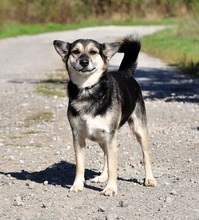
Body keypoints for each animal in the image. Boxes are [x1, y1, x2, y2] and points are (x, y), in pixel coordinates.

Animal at [53, 33, 157, 196]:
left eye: (93, 52)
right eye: (75, 52)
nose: (84, 62)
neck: (87, 89)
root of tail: (125, 73)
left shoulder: (110, 135)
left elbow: (113, 166)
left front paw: (111, 188)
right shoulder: (78, 136)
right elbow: (80, 165)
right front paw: (77, 185)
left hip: (138, 130)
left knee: (145, 155)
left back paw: (150, 179)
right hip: (102, 138)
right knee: (106, 156)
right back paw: (102, 176)